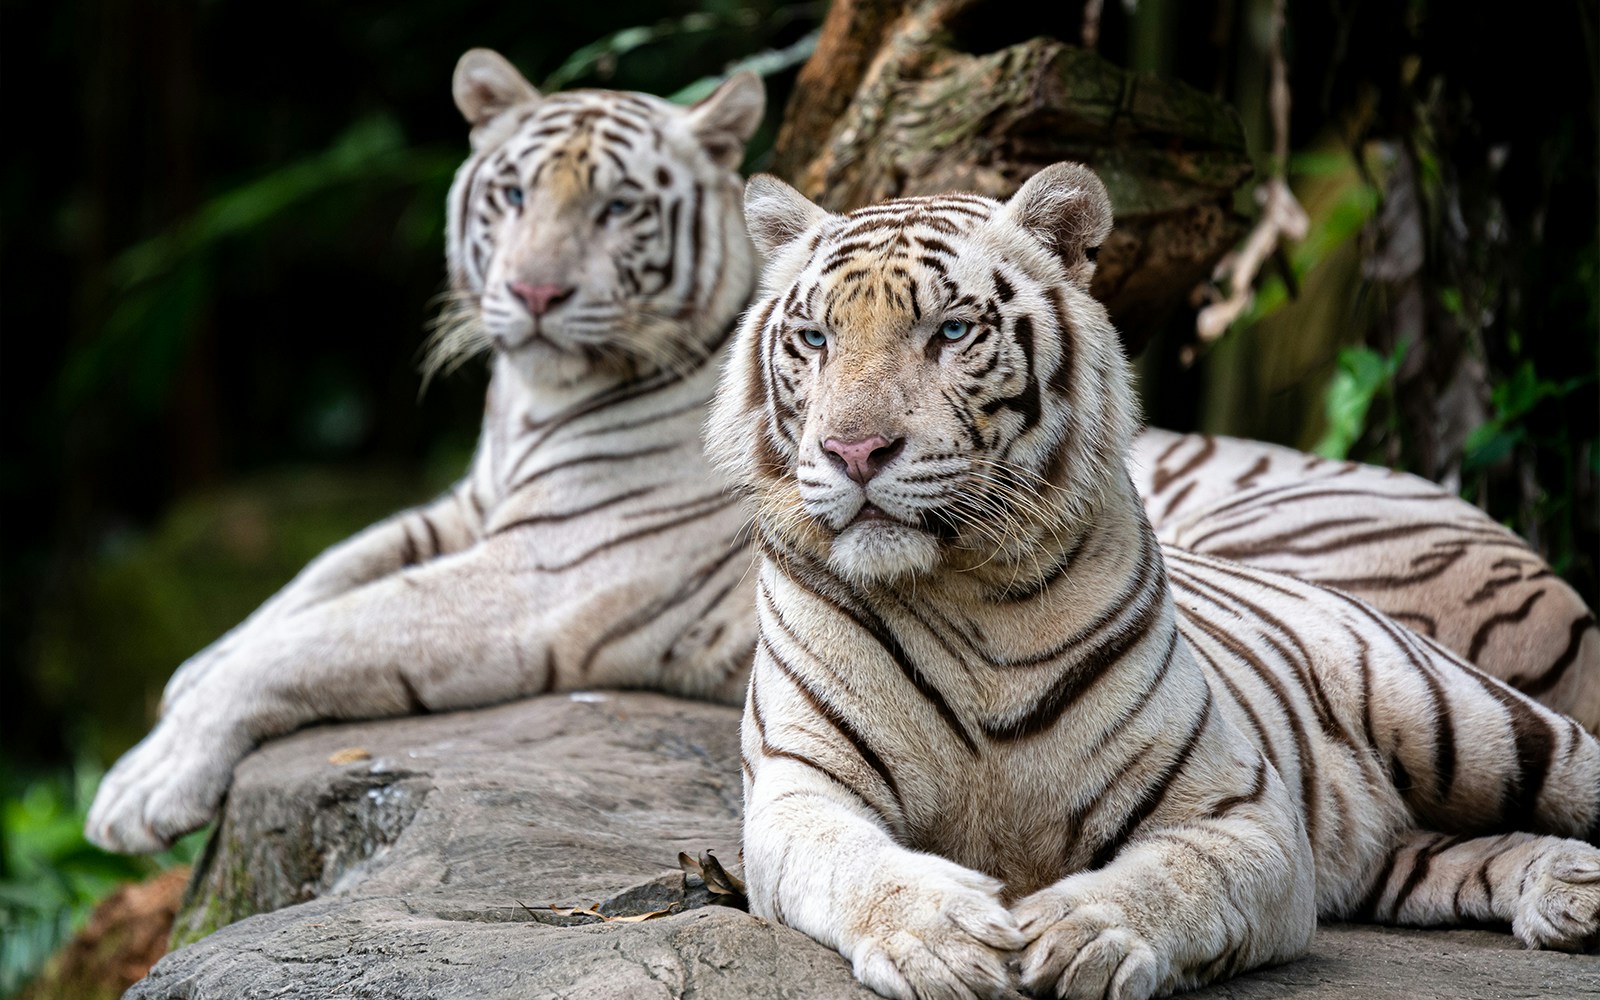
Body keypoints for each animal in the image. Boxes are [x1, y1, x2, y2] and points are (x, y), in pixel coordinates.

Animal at [85, 48, 767, 854]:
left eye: (620, 208)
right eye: (513, 195)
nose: (535, 293)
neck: (532, 402)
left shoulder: (546, 569)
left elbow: (319, 633)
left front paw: (144, 784)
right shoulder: (466, 507)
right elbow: (322, 572)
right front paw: (192, 668)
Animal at [708, 163, 1600, 1000]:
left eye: (951, 331)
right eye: (815, 339)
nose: (853, 452)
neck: (968, 587)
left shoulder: (1240, 812)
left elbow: (1180, 879)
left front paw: (1088, 933)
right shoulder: (799, 791)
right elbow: (855, 864)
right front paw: (941, 936)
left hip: (1470, 720)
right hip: (1397, 852)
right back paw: (1568, 890)